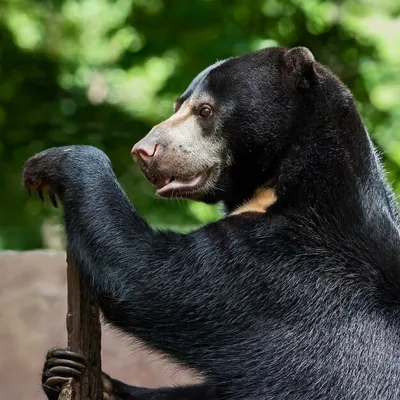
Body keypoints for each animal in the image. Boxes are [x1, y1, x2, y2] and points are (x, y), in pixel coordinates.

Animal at [23, 47, 400, 400]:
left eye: (205, 110)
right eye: (178, 104)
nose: (144, 152)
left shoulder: (285, 264)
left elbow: (152, 275)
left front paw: (57, 162)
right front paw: (66, 372)